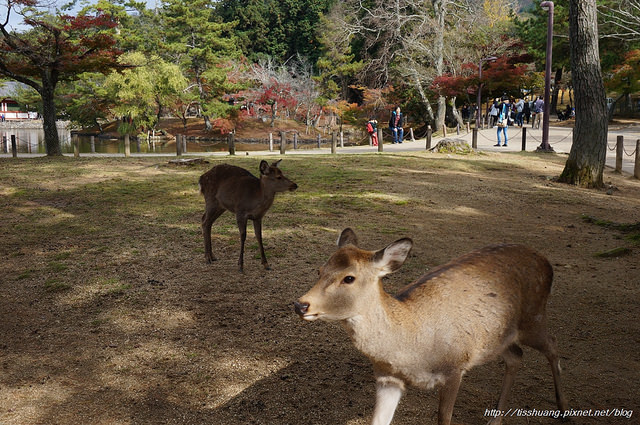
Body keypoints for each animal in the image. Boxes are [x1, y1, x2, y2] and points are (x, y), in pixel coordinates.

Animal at [292, 229, 568, 424]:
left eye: (349, 278)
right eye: (319, 270)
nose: (301, 305)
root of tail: (547, 262)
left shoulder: (455, 367)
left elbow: (444, 418)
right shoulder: (387, 378)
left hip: (533, 317)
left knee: (553, 345)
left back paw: (564, 410)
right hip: (497, 337)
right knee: (516, 355)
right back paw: (495, 419)